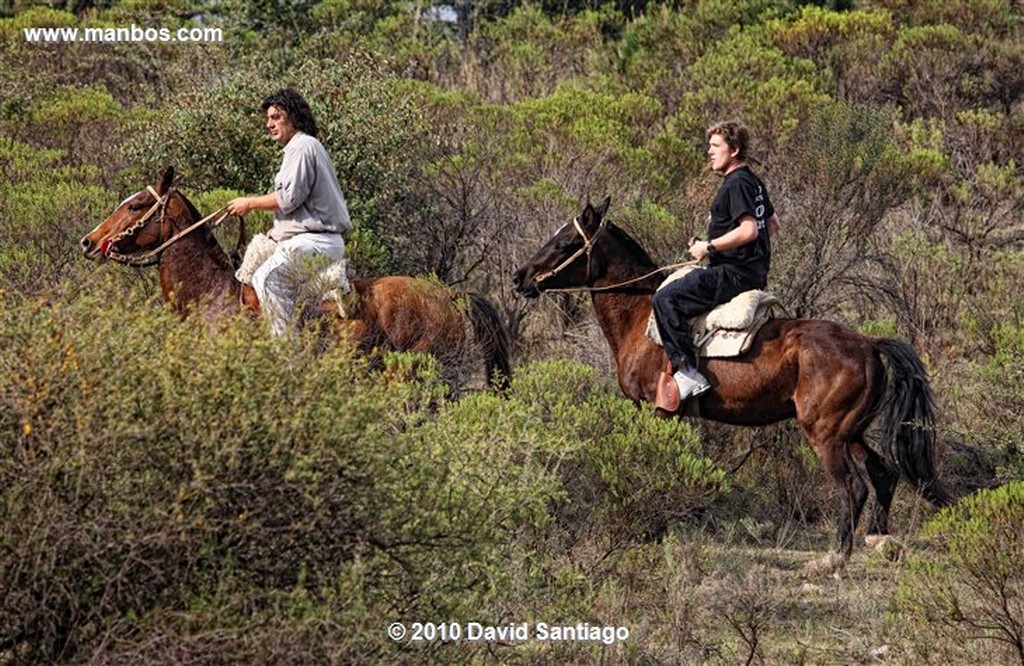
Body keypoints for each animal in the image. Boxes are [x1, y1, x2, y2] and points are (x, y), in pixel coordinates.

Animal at [512, 195, 950, 569]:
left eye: (564, 243)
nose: (520, 277)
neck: (639, 317)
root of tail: (869, 344)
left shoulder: (657, 410)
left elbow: (652, 464)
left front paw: (650, 529)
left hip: (826, 435)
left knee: (853, 487)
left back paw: (835, 558)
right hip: (850, 432)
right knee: (884, 473)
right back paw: (880, 541)